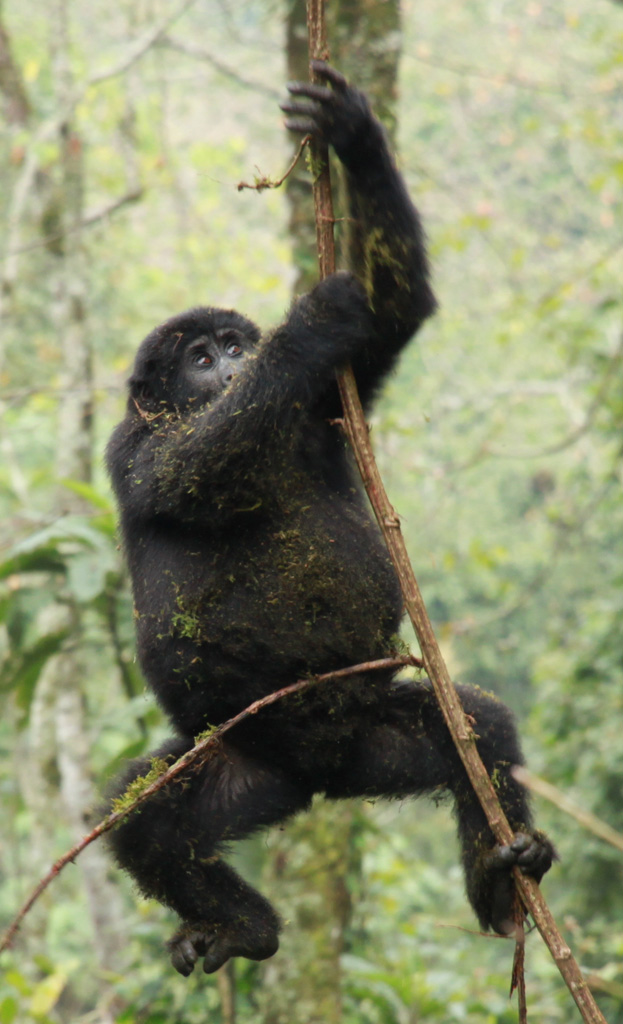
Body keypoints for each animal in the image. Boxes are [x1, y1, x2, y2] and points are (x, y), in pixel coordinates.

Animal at [108, 64, 553, 974]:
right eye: (199, 358)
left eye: (231, 346)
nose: (235, 362)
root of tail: (318, 782)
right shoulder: (136, 450)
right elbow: (196, 464)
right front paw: (312, 318)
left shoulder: (327, 394)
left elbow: (396, 307)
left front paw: (351, 131)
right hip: (236, 764)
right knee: (142, 819)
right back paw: (243, 927)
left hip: (378, 739)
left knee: (475, 727)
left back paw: (502, 875)